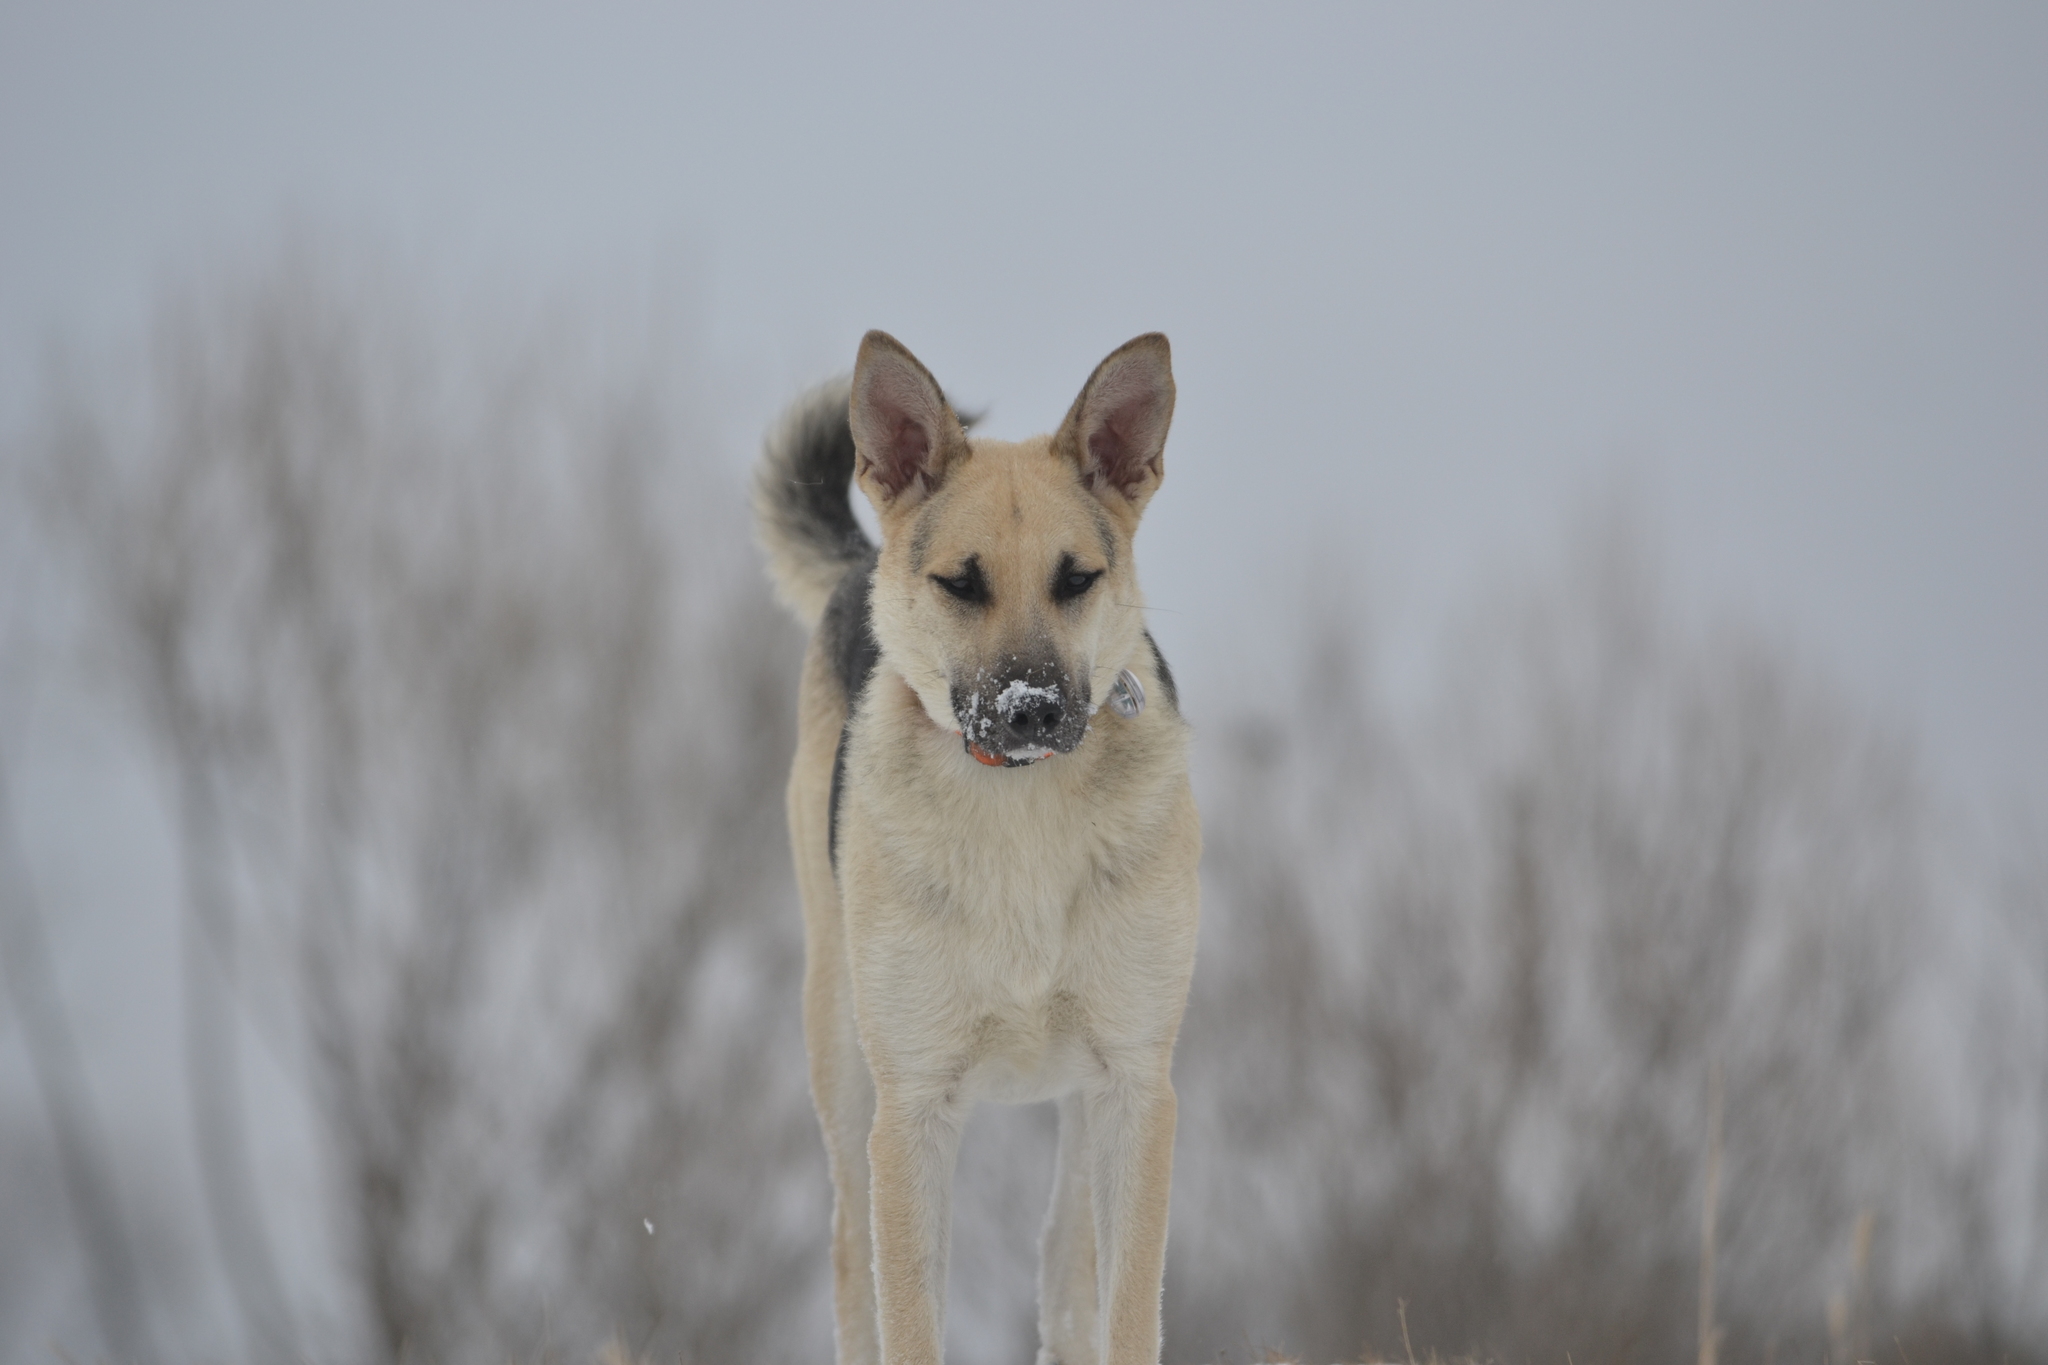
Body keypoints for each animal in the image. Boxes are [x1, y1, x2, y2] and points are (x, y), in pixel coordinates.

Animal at [753, 333, 1196, 1365]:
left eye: (1077, 578)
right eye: (961, 581)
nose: (1031, 709)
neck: (1019, 802)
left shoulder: (1135, 1088)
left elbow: (1126, 1311)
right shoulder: (912, 1111)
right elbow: (909, 1318)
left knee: (1068, 1261)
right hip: (844, 1061)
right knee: (852, 1260)